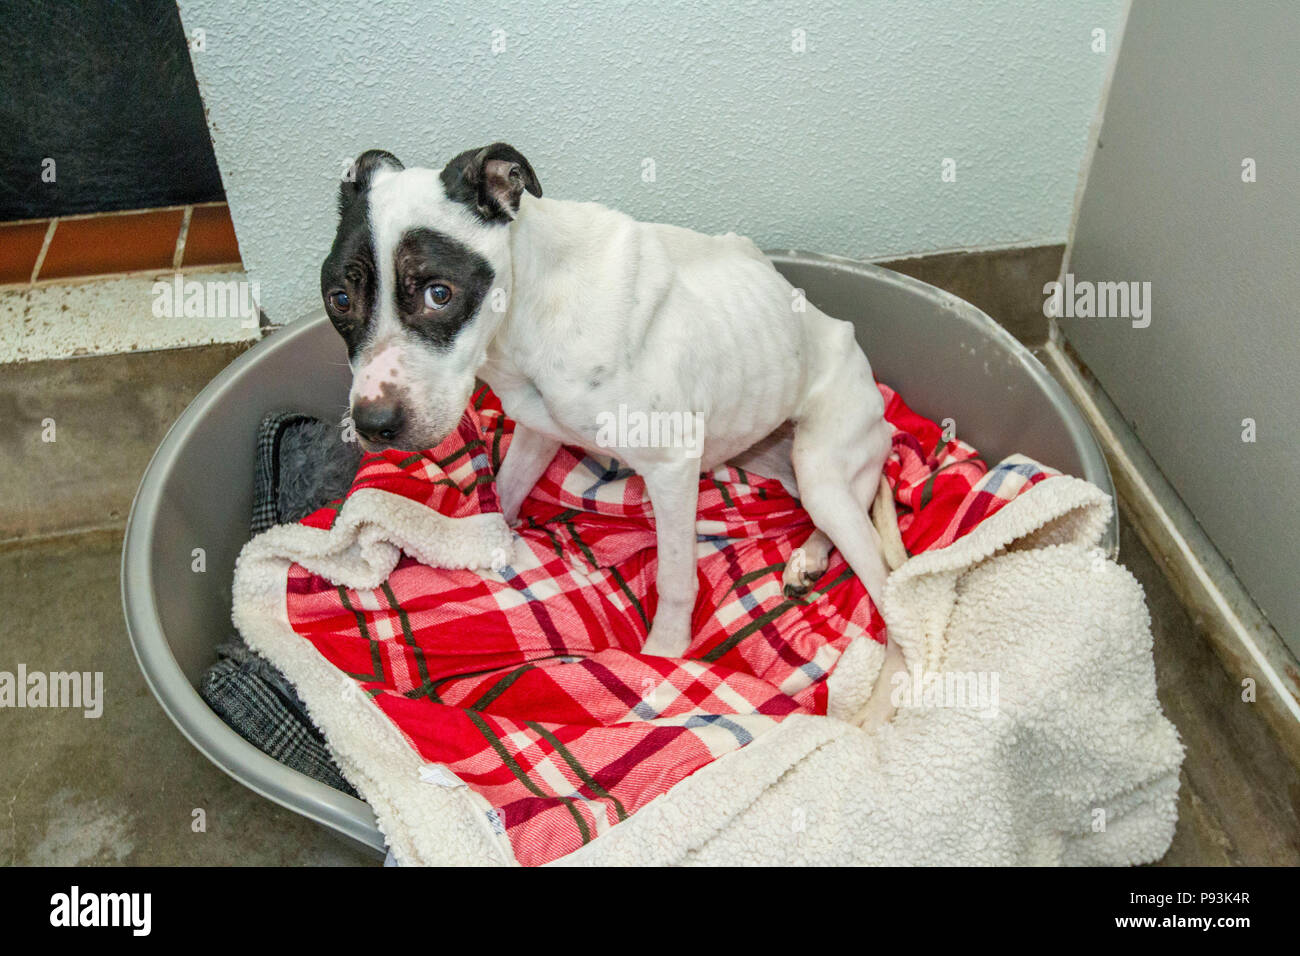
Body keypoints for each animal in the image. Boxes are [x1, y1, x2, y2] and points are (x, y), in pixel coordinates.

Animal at [322, 140, 904, 658]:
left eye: (438, 293)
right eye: (340, 299)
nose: (372, 424)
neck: (529, 309)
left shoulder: (672, 466)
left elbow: (675, 579)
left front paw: (666, 655)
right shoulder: (536, 433)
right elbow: (503, 496)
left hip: (821, 467)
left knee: (880, 571)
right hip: (777, 459)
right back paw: (808, 558)